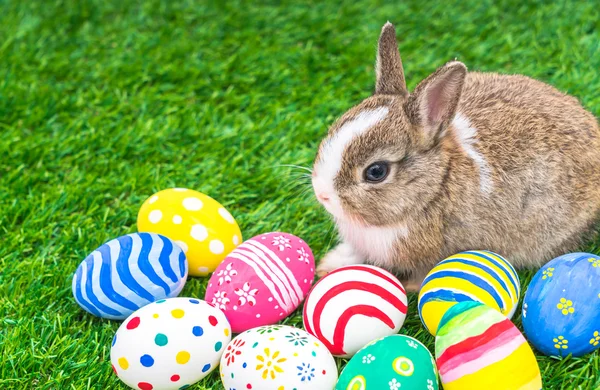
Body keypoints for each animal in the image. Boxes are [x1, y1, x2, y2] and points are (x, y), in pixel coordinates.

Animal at [310, 20, 600, 290]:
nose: (322, 194)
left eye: (376, 172)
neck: (435, 186)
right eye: (332, 131)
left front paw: (410, 285)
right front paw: (330, 264)